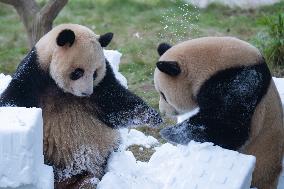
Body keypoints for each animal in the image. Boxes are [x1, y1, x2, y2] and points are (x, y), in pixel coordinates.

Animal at [0, 23, 161, 189]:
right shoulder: (34, 74)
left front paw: (153, 116)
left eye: (95, 73)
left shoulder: (103, 84)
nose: (87, 92)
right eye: (78, 72)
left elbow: (117, 103)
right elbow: (15, 101)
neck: (65, 91)